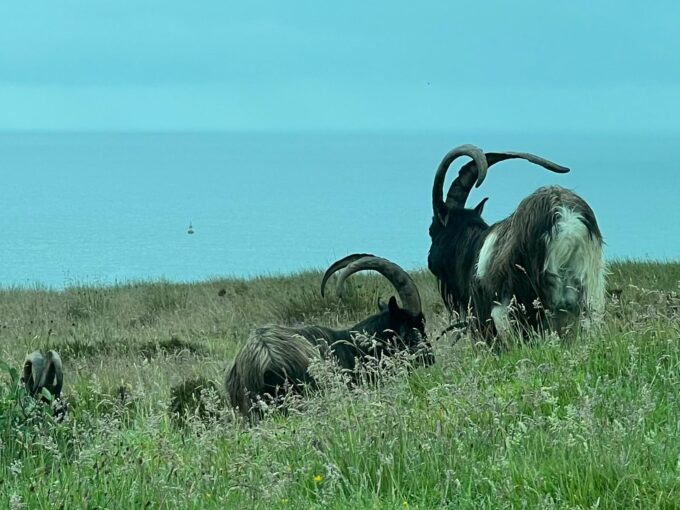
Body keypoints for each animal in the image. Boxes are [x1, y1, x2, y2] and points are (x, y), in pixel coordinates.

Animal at [430, 143, 604, 342]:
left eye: (432, 231)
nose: (430, 261)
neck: (471, 250)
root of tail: (566, 222)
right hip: (587, 297)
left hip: (533, 306)